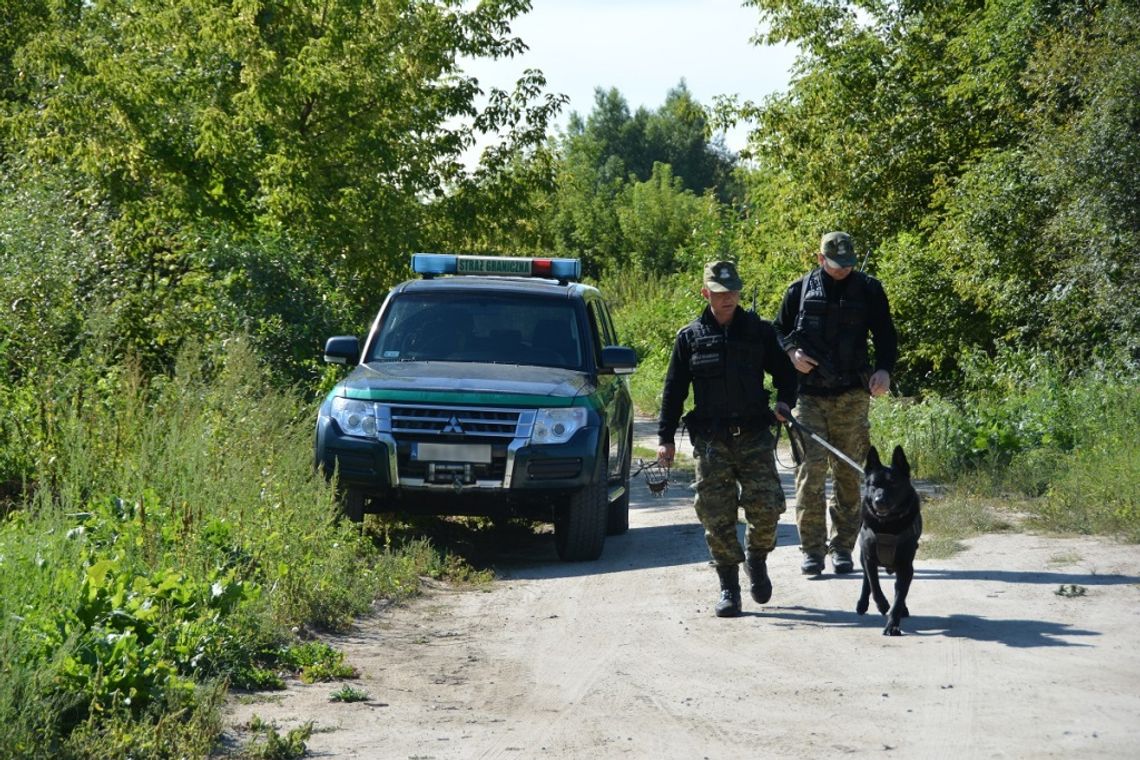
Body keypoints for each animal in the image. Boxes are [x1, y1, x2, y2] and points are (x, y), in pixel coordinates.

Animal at [857, 446, 921, 638]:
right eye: (873, 484)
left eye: (893, 484)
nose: (879, 501)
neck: (887, 525)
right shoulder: (869, 558)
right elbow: (874, 586)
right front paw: (882, 604)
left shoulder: (906, 566)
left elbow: (899, 597)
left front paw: (893, 624)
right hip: (863, 555)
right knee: (867, 580)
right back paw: (862, 604)